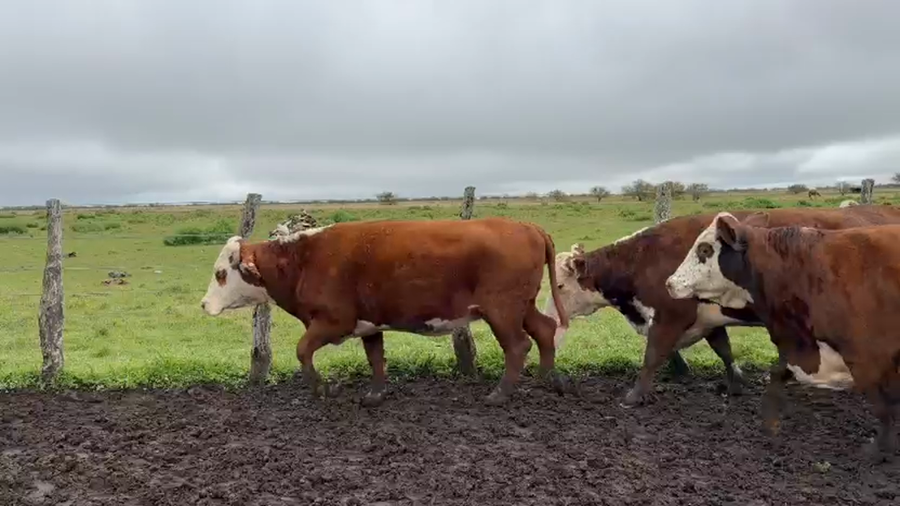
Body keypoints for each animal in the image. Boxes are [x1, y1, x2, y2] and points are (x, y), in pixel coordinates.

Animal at [200, 217, 570, 407]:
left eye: (220, 273)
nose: (204, 304)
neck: (305, 259)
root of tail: (527, 227)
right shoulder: (369, 323)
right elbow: (375, 357)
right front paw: (375, 394)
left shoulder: (334, 321)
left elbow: (303, 350)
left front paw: (324, 389)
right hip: (521, 306)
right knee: (545, 330)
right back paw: (547, 379)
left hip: (502, 310)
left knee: (518, 345)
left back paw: (501, 393)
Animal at [544, 205, 900, 407]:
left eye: (559, 286)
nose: (552, 322)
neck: (643, 260)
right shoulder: (708, 319)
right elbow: (724, 350)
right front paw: (736, 384)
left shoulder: (671, 315)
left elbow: (652, 355)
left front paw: (634, 397)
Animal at [665, 212, 900, 462]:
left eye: (705, 249)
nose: (670, 282)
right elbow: (776, 376)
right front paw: (770, 427)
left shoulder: (866, 357)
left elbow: (882, 407)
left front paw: (878, 449)